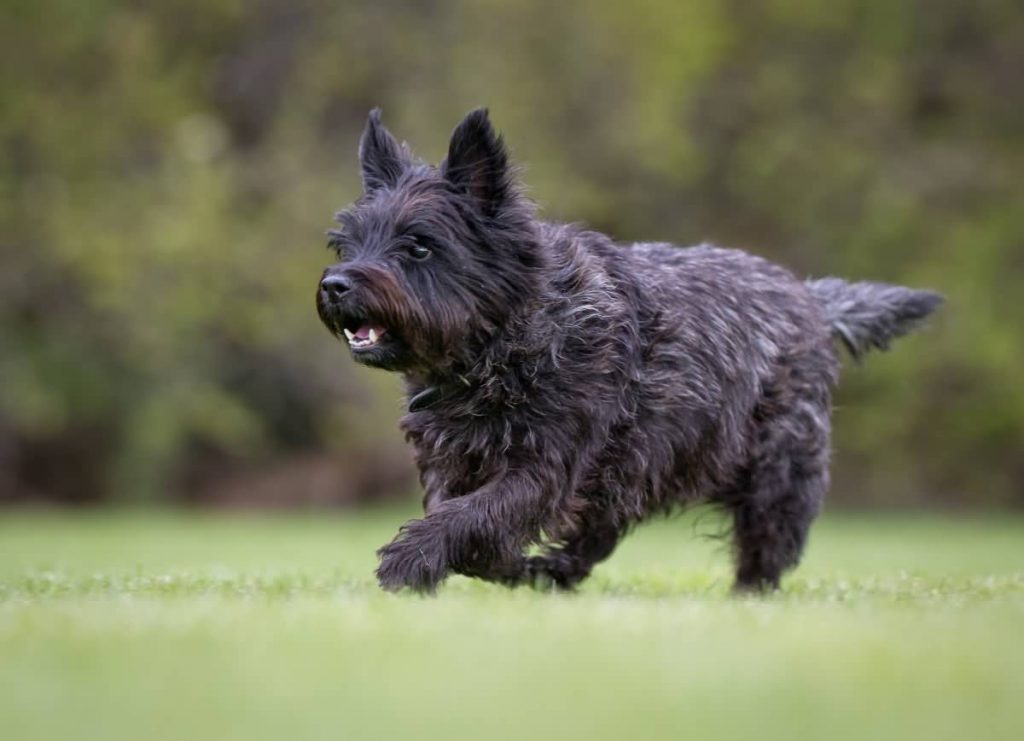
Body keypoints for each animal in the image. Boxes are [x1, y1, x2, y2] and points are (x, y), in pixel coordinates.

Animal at [313, 110, 942, 593]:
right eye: (347, 244)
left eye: (419, 247)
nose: (336, 285)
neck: (507, 341)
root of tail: (811, 298)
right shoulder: (455, 460)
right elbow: (466, 519)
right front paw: (503, 568)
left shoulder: (547, 463)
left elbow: (473, 518)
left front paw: (409, 561)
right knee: (601, 535)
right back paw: (555, 572)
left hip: (775, 470)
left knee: (765, 548)